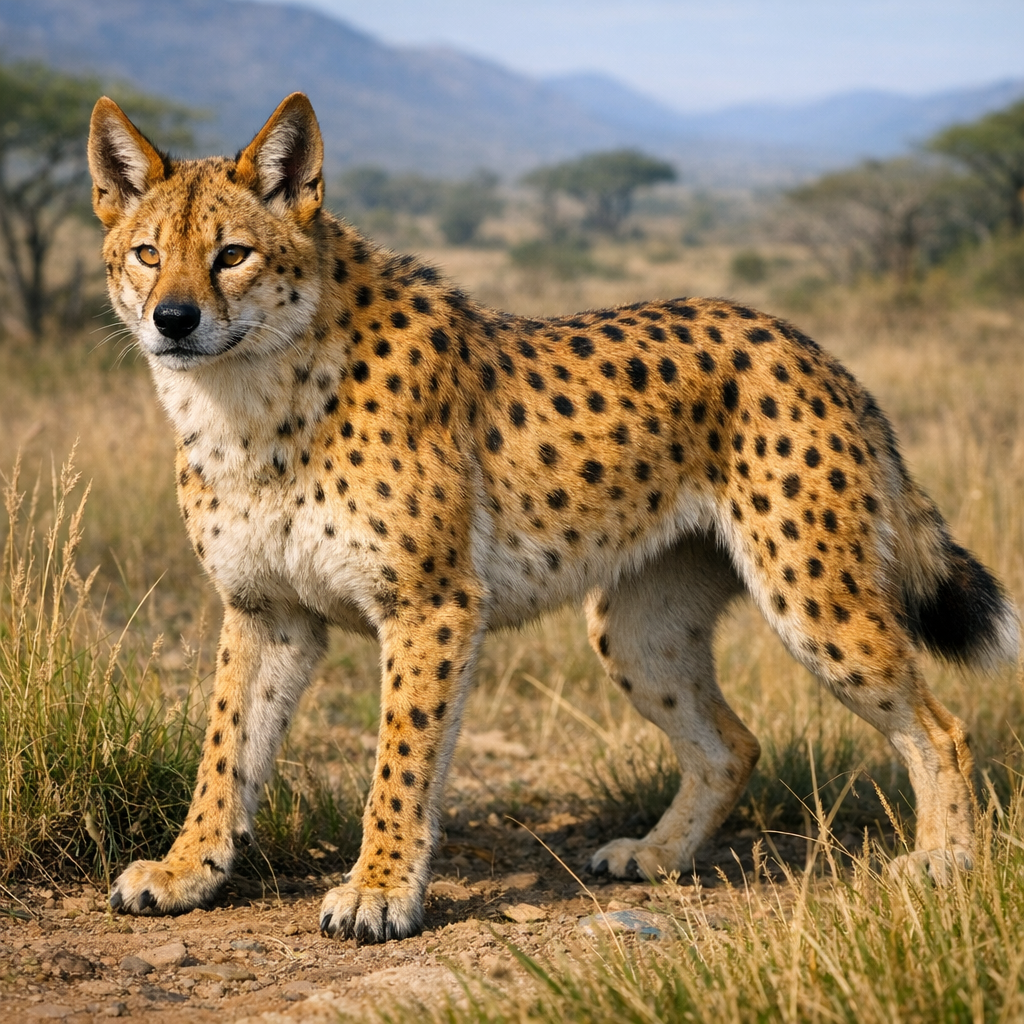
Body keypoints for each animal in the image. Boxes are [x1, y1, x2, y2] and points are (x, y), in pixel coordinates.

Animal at [87, 92, 1019, 943]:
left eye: (233, 255)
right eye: (147, 254)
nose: (175, 319)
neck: (251, 394)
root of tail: (802, 340)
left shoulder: (431, 606)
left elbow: (400, 759)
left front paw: (380, 889)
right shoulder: (267, 610)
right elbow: (226, 746)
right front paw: (187, 869)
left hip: (812, 596)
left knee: (943, 728)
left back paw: (944, 859)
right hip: (639, 629)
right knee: (731, 744)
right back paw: (657, 855)